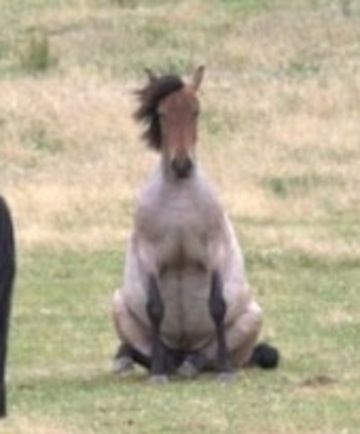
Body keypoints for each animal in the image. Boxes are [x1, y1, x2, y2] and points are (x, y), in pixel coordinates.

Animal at [112, 67, 278, 380]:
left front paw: (225, 372)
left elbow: (218, 306)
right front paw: (157, 373)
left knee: (205, 356)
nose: (182, 165)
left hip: (253, 316)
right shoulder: (148, 255)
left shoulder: (216, 250)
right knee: (145, 351)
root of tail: (182, 353)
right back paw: (135, 360)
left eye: (196, 111)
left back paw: (196, 364)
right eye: (162, 113)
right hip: (118, 307)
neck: (179, 197)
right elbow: (155, 307)